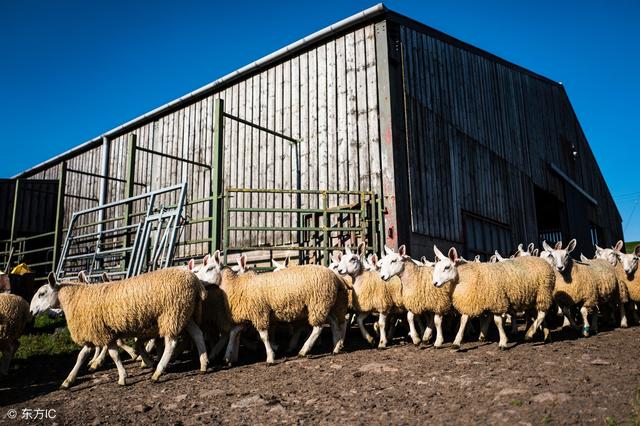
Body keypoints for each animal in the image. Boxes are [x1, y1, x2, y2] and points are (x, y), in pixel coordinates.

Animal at [30, 270, 208, 390]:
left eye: (42, 293)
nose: (31, 311)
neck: (76, 298)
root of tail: (195, 281)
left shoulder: (102, 332)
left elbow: (113, 354)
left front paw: (123, 376)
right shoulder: (95, 332)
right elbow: (81, 356)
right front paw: (68, 380)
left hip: (171, 313)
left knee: (171, 343)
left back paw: (158, 372)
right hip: (185, 313)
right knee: (198, 334)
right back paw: (204, 364)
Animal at [198, 251, 348, 364]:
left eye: (209, 268)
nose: (198, 280)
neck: (237, 285)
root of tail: (335, 276)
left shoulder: (259, 313)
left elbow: (263, 336)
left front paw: (270, 356)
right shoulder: (249, 315)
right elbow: (234, 332)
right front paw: (229, 356)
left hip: (317, 303)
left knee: (318, 328)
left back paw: (303, 351)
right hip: (324, 304)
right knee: (334, 322)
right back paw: (336, 347)